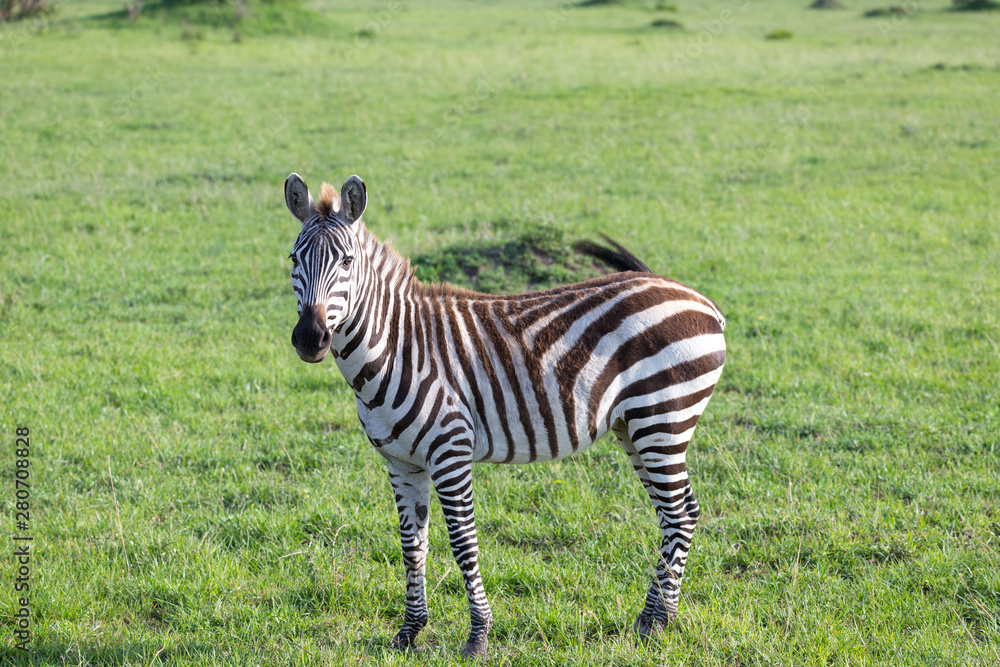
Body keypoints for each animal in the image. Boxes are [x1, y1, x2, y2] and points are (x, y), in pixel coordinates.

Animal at [284, 173, 726, 657]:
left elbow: (463, 543)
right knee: (675, 512)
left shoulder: (450, 452)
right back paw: (657, 616)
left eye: (346, 261)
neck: (396, 348)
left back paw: (655, 619)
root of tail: (694, 296)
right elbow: (412, 546)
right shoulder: (400, 461)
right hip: (636, 428)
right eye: (293, 259)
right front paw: (409, 631)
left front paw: (478, 635)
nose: (310, 338)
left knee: (680, 512)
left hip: (662, 420)